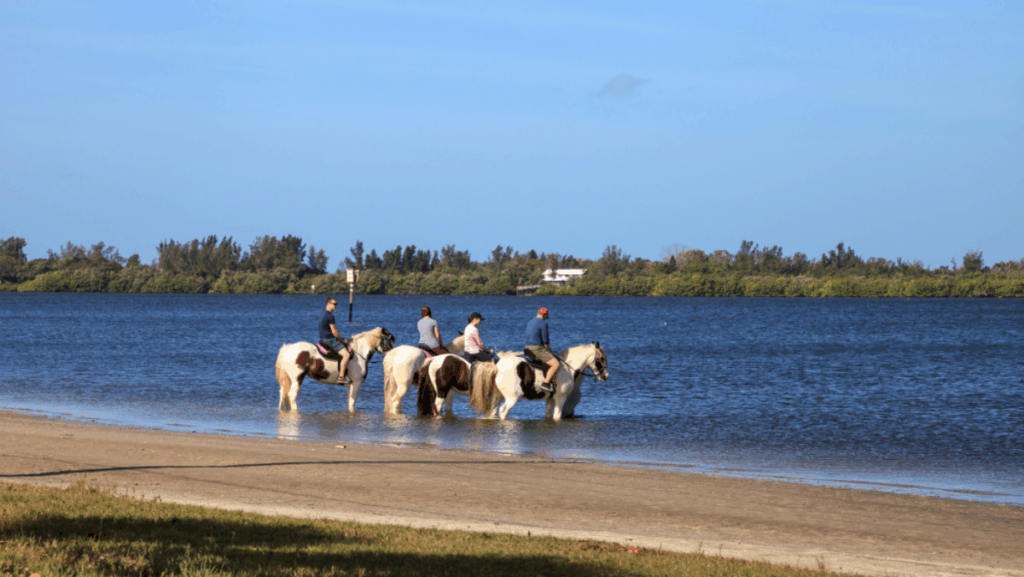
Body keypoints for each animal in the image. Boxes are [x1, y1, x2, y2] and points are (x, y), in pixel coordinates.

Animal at [474, 343, 609, 421]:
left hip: (499, 396)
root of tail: (497, 364)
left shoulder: (550, 399)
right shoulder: (560, 398)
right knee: (503, 411)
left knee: (493, 411)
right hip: (512, 398)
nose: (606, 376)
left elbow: (548, 415)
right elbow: (557, 416)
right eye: (601, 358)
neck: (568, 367)